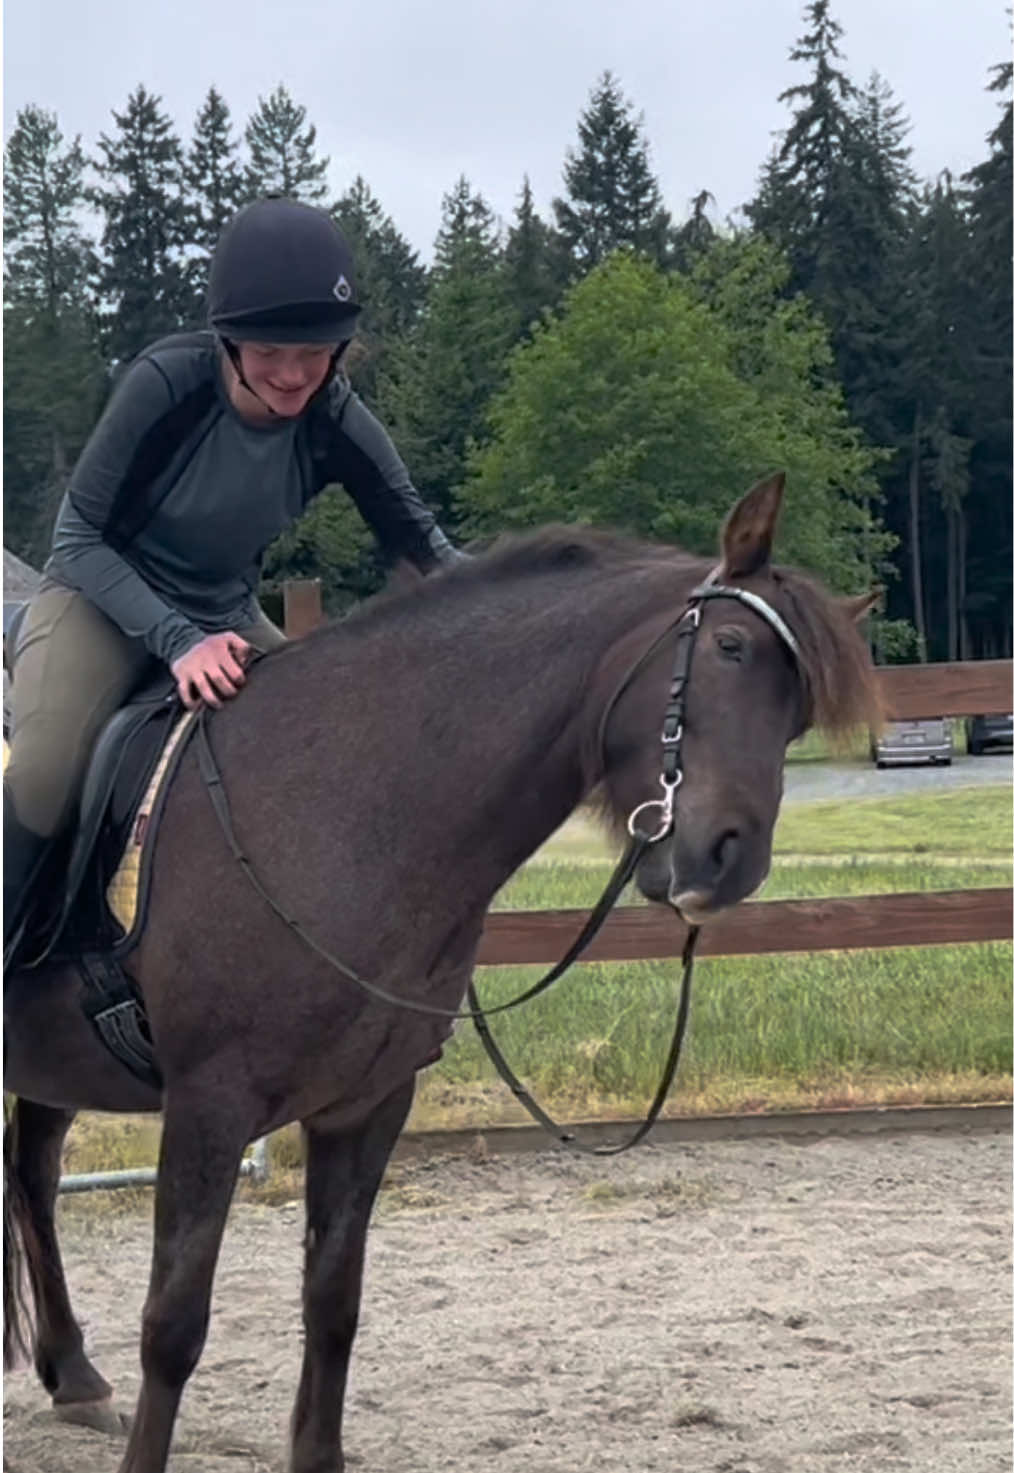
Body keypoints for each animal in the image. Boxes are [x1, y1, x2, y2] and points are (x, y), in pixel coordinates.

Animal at [3, 473, 880, 1473]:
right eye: (730, 648)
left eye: (798, 710)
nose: (730, 859)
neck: (338, 804)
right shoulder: (208, 1107)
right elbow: (174, 1327)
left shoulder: (366, 1106)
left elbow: (333, 1307)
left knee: (32, 1172)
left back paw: (73, 1373)